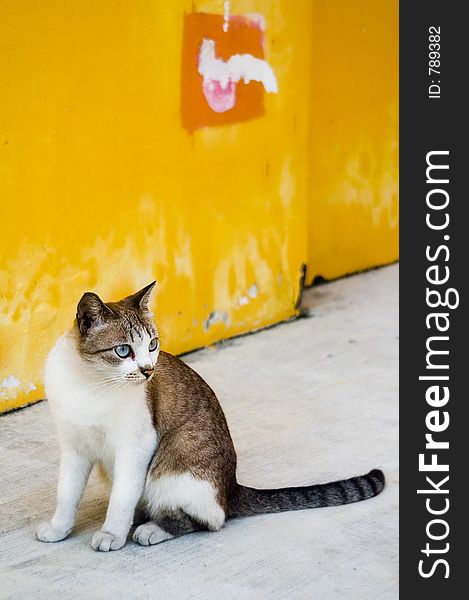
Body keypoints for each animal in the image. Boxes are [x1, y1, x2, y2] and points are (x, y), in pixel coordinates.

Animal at [37, 284, 384, 552]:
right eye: (123, 351)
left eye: (153, 345)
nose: (148, 370)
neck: (92, 384)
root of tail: (231, 488)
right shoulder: (74, 448)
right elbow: (67, 494)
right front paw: (58, 528)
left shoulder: (136, 447)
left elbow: (121, 500)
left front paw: (111, 534)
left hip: (171, 466)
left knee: (206, 518)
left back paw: (151, 528)